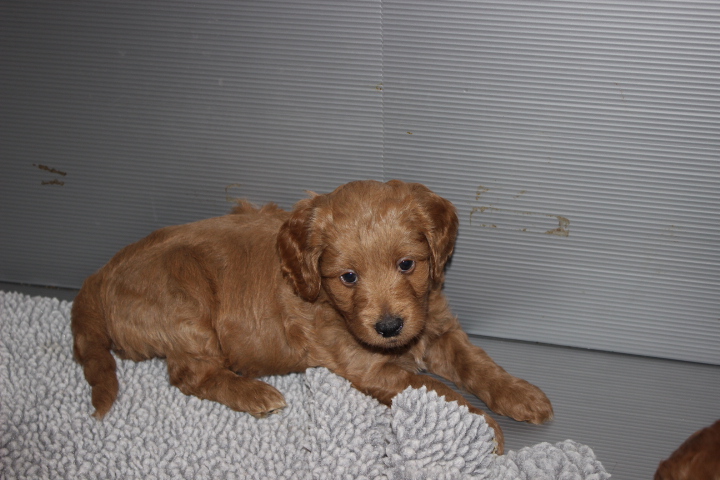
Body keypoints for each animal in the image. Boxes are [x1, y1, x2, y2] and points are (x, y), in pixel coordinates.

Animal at [73, 178, 556, 452]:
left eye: (407, 264)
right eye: (348, 277)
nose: (389, 327)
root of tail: (100, 273)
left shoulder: (436, 324)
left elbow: (477, 364)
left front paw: (521, 395)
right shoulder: (369, 365)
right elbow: (440, 389)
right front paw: (482, 430)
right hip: (187, 308)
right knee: (190, 375)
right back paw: (256, 394)